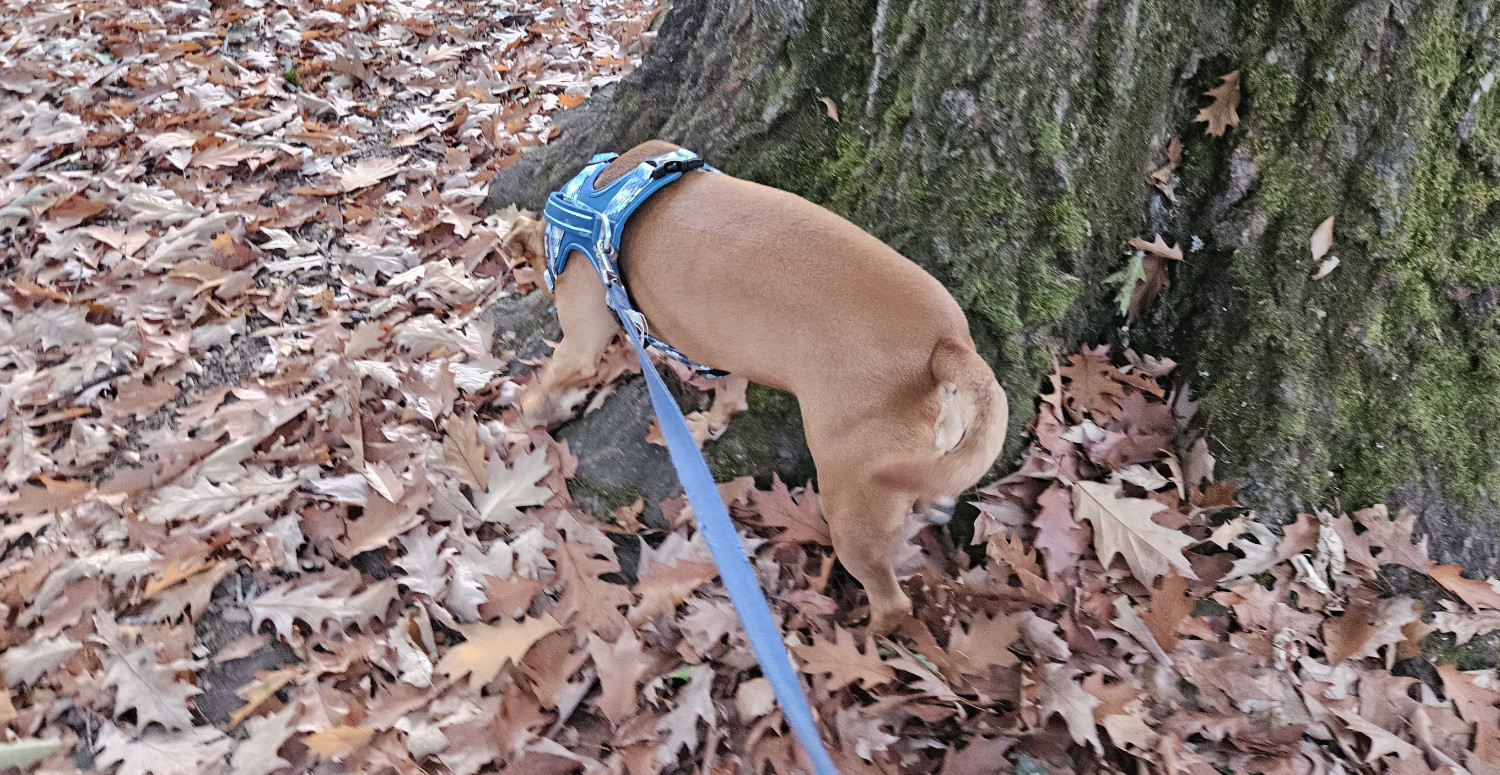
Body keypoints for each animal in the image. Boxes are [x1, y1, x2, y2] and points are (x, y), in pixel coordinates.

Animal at [504, 141, 1008, 632]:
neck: (597, 195)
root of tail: (946, 344)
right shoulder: (720, 350)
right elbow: (728, 391)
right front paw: (712, 423)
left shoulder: (582, 342)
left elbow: (549, 380)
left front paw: (525, 412)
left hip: (850, 507)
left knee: (892, 602)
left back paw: (867, 629)